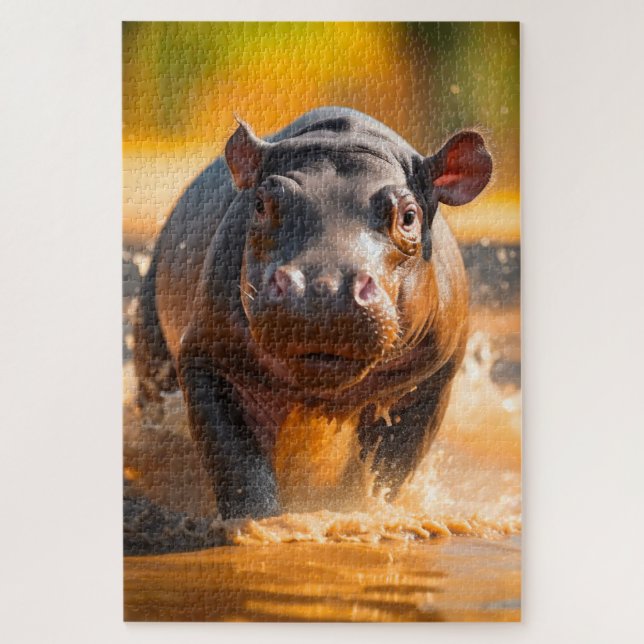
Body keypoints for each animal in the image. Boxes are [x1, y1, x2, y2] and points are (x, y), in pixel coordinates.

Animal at [133, 107, 492, 519]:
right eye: (260, 204)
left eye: (409, 216)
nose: (323, 287)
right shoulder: (208, 356)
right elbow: (237, 461)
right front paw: (259, 522)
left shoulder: (429, 380)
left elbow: (388, 466)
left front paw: (354, 509)